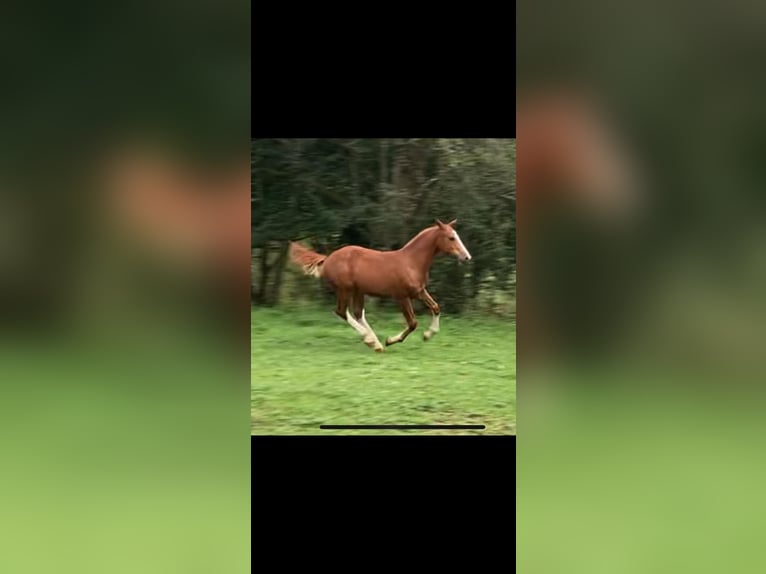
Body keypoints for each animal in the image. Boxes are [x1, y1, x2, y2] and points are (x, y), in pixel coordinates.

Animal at [292, 220, 474, 354]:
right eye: (451, 238)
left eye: (456, 236)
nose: (467, 257)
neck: (412, 262)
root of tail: (328, 258)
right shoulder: (402, 297)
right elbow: (413, 323)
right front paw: (391, 340)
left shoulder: (419, 292)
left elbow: (436, 307)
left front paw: (428, 335)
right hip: (345, 289)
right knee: (341, 312)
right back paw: (370, 340)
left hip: (358, 291)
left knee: (357, 313)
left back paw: (375, 344)